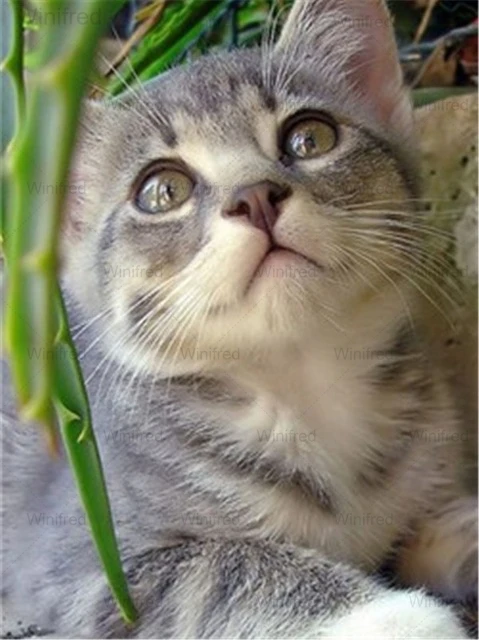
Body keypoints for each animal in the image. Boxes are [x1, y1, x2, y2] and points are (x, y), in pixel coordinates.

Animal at [2, 0, 477, 637]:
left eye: (310, 137)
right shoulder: (90, 572)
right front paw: (393, 615)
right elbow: (226, 563)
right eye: (162, 190)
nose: (254, 195)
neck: (306, 390)